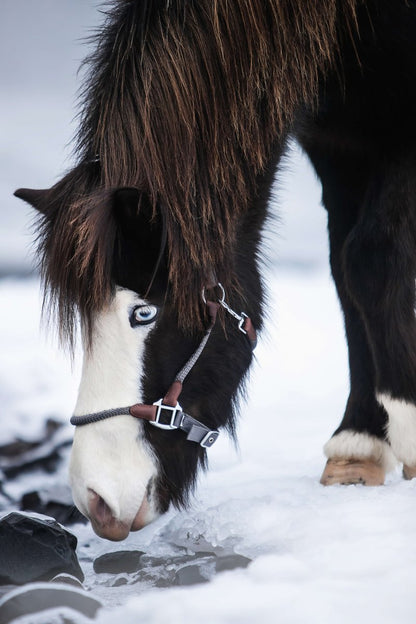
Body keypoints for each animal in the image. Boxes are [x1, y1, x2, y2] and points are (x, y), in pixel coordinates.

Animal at [14, 0, 416, 540]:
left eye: (143, 313)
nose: (96, 500)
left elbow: (371, 259)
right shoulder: (338, 144)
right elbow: (344, 272)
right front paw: (360, 443)